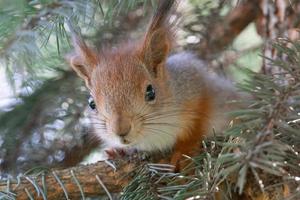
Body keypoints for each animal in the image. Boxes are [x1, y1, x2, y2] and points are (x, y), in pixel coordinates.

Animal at [65, 0, 237, 170]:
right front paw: (119, 151)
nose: (121, 130)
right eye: (91, 103)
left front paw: (183, 150)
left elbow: (197, 125)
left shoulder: (196, 84)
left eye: (151, 92)